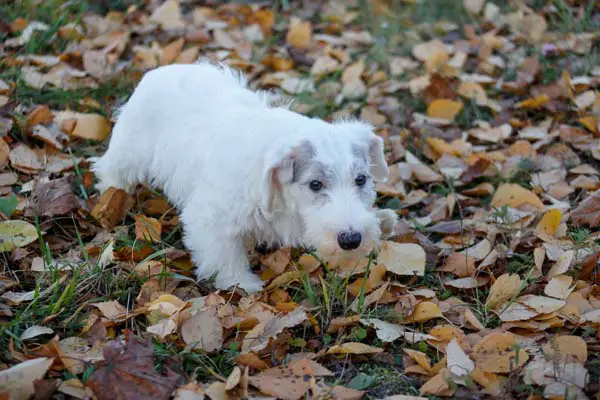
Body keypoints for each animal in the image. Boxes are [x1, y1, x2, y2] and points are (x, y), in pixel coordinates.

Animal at [91, 63, 396, 294]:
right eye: (315, 184)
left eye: (361, 180)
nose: (351, 239)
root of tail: (163, 69)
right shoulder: (211, 218)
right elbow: (224, 255)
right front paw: (241, 285)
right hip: (130, 149)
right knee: (111, 169)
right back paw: (112, 199)